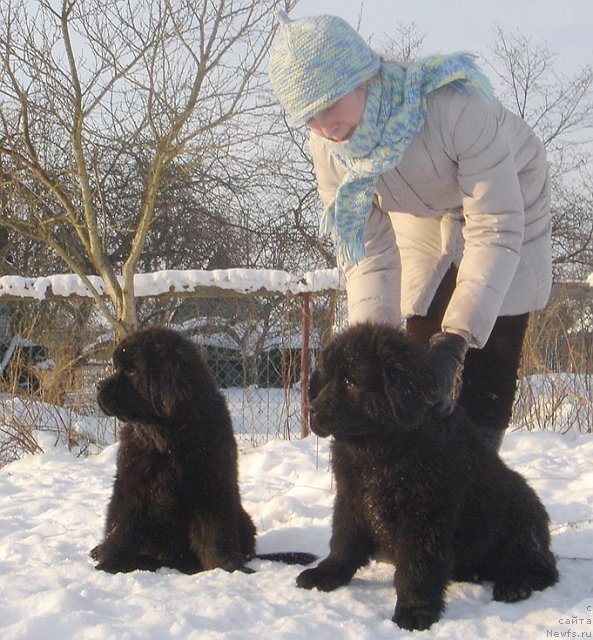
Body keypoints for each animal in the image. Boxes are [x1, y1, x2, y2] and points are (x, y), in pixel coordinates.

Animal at [91, 328, 314, 572]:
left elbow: (215, 533)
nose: (98, 386)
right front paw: (111, 563)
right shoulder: (131, 484)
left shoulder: (212, 484)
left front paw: (226, 567)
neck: (167, 436)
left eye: (131, 370)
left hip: (243, 518)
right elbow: (121, 527)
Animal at [298, 322, 556, 632]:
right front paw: (326, 574)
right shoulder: (352, 498)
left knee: (541, 567)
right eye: (326, 379)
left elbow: (417, 565)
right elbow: (343, 541)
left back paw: (514, 586)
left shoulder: (425, 513)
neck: (380, 450)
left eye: (350, 382)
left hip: (521, 519)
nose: (312, 410)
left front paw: (414, 611)